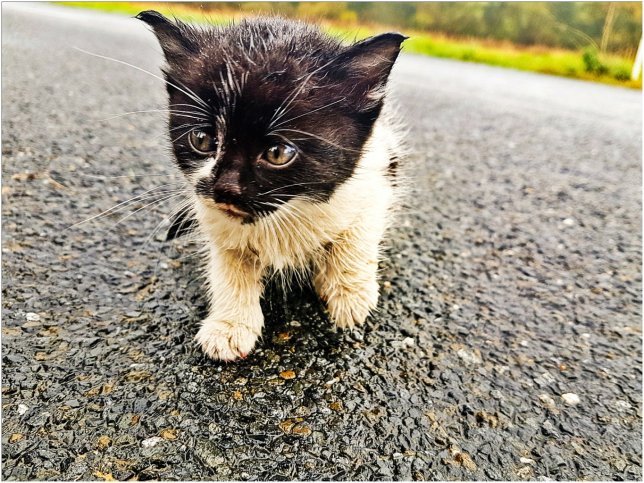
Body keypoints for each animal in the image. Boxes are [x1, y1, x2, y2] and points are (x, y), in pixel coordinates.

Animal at [136, 10, 408, 360]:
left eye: (278, 153)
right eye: (202, 140)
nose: (226, 189)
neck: (284, 215)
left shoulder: (377, 174)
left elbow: (357, 235)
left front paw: (350, 296)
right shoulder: (212, 213)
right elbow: (229, 263)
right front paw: (230, 326)